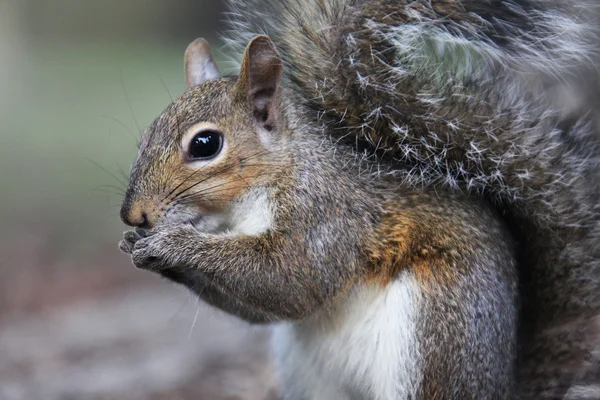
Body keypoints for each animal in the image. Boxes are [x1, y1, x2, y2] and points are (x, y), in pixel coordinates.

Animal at [118, 0, 600, 398]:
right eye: (144, 137)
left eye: (205, 144)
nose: (133, 215)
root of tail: (502, 387)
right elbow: (261, 308)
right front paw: (138, 247)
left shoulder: (328, 213)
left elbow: (290, 281)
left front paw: (174, 244)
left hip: (434, 336)